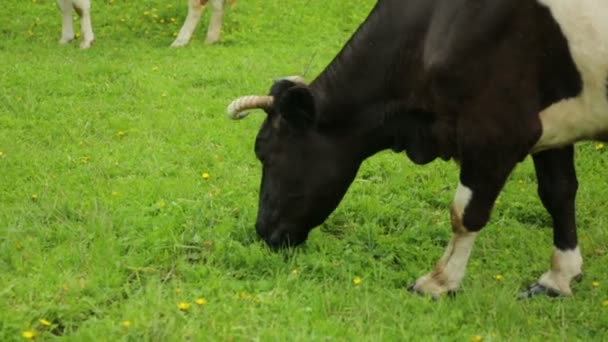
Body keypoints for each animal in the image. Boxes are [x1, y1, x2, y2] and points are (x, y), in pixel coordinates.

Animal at [56, 0, 235, 48]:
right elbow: (64, 6)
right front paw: (66, 38)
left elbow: (79, 7)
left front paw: (87, 41)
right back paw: (211, 38)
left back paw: (180, 40)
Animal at [228, 0, 608, 300]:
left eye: (265, 152)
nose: (262, 230)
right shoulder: (553, 125)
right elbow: (558, 193)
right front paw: (558, 278)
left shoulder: (497, 129)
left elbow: (465, 213)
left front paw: (439, 282)